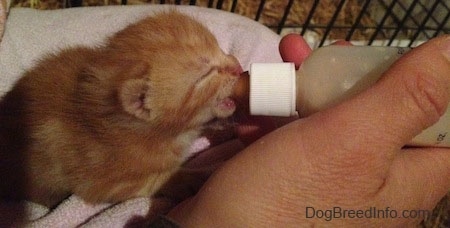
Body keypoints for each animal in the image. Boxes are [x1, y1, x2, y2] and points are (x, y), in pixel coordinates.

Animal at [0, 10, 243, 208]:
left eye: (220, 49)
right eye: (204, 75)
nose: (238, 67)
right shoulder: (100, 182)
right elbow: (153, 180)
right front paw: (188, 180)